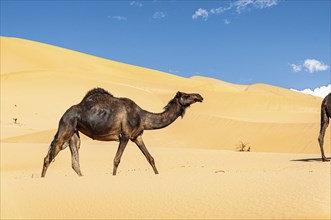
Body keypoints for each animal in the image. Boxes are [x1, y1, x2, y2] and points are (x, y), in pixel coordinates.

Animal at [40, 88, 204, 176]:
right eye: (186, 95)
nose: (200, 96)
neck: (142, 116)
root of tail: (63, 115)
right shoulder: (124, 135)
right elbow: (116, 160)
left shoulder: (137, 136)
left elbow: (150, 158)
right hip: (65, 128)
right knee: (48, 157)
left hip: (74, 134)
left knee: (75, 162)